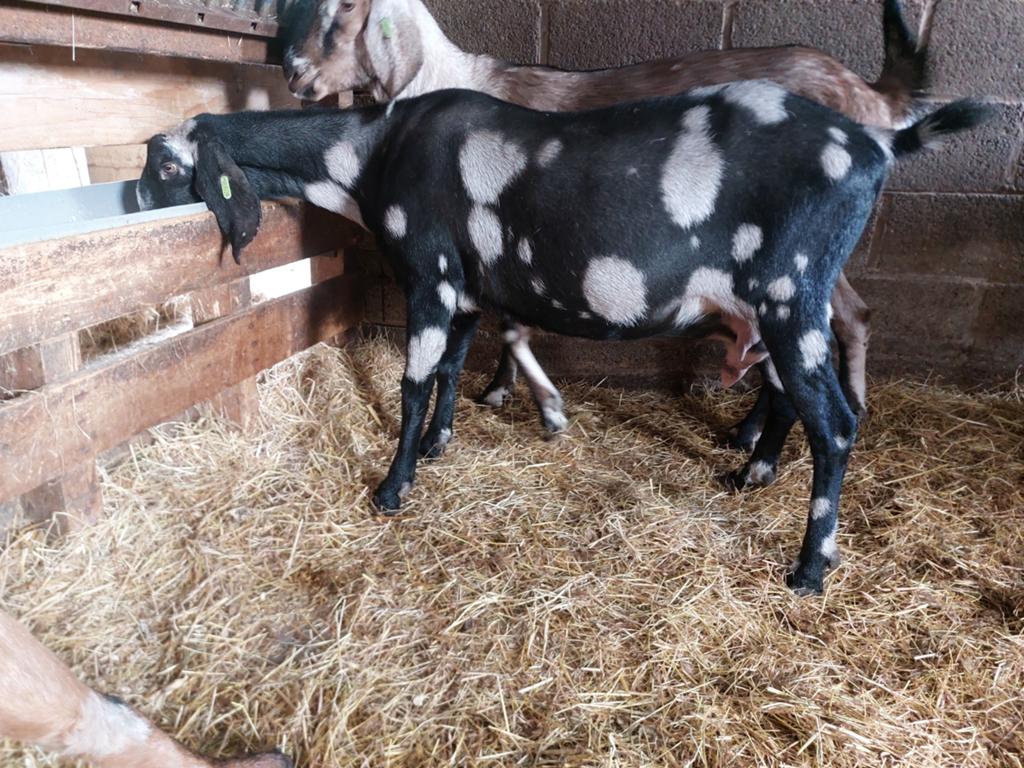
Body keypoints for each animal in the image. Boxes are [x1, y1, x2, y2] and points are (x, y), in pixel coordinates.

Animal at [137, 84, 987, 594]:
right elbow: (453, 368)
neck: (373, 151)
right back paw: (753, 469)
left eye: (167, 167)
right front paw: (445, 443)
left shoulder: (429, 275)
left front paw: (392, 487)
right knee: (788, 397)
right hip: (772, 305)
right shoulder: (468, 287)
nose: (133, 203)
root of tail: (878, 143)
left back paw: (810, 567)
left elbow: (414, 380)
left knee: (836, 421)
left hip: (792, 292)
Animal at [279, 0, 926, 463]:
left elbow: (500, 330)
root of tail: (871, 98)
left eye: (342, 10)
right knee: (839, 320)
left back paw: (790, 430)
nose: (294, 75)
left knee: (840, 321)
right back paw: (760, 431)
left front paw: (528, 404)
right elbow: (507, 324)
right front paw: (506, 395)